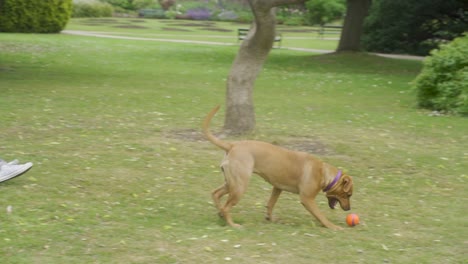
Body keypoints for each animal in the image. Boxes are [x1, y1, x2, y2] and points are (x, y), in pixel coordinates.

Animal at [203, 105, 352, 229]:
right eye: (348, 194)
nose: (349, 209)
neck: (323, 173)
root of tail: (232, 145)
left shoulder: (277, 188)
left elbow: (270, 204)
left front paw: (270, 218)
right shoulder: (307, 199)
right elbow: (321, 216)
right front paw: (332, 226)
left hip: (231, 183)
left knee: (216, 194)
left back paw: (220, 214)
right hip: (240, 186)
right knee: (226, 207)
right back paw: (232, 224)